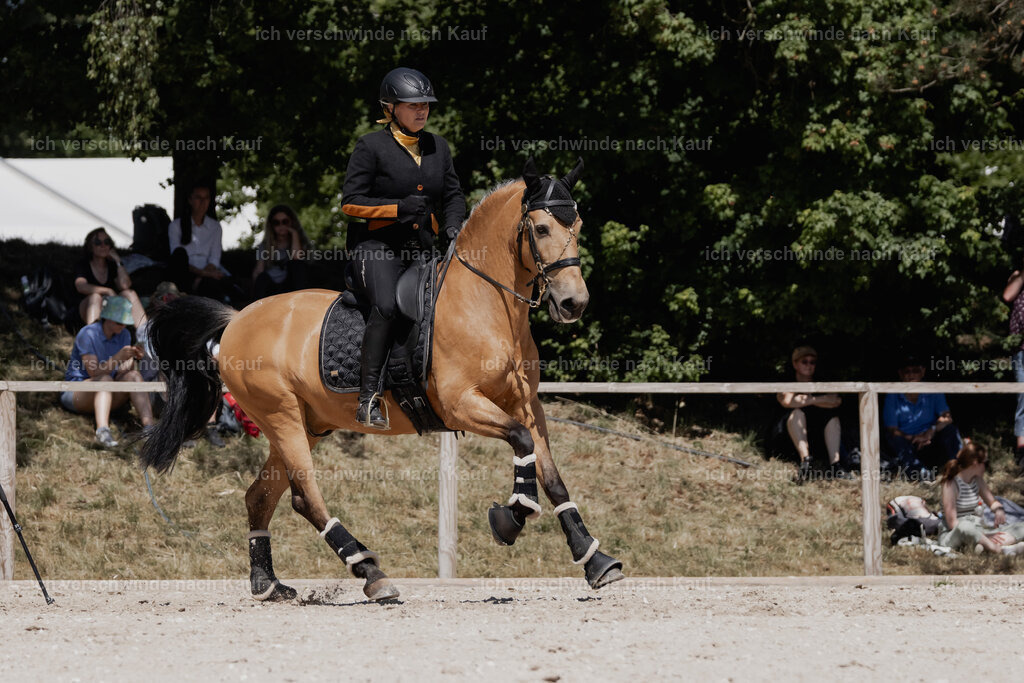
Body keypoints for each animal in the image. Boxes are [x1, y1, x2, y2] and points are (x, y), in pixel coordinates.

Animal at [140, 157, 625, 601]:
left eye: (578, 225)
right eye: (540, 229)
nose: (574, 303)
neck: (486, 304)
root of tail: (237, 318)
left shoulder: (527, 404)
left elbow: (550, 471)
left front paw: (594, 558)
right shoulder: (461, 403)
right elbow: (521, 442)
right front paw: (512, 517)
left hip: (305, 424)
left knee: (261, 495)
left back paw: (268, 584)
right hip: (282, 417)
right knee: (305, 495)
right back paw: (371, 572)